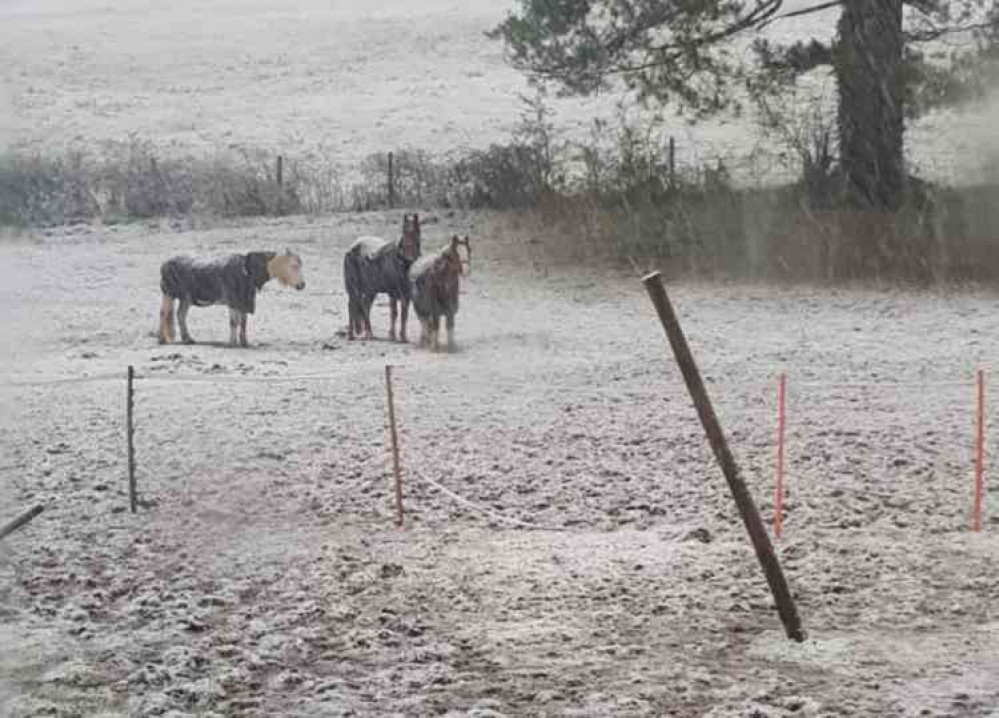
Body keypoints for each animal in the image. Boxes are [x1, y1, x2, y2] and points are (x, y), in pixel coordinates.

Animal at [155, 249, 304, 348]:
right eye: (294, 266)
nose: (302, 285)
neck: (247, 271)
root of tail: (165, 264)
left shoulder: (243, 301)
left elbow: (243, 322)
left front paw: (244, 342)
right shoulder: (233, 302)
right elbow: (234, 322)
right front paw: (232, 343)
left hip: (186, 298)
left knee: (180, 315)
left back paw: (188, 339)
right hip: (168, 294)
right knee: (164, 313)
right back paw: (162, 340)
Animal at [344, 212, 422, 342]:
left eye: (417, 231)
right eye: (404, 231)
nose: (410, 257)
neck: (403, 264)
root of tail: (351, 247)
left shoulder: (406, 294)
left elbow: (404, 314)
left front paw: (403, 336)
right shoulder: (393, 292)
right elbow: (394, 313)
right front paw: (393, 335)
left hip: (370, 290)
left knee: (365, 306)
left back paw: (369, 333)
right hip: (353, 287)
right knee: (352, 306)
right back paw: (351, 335)